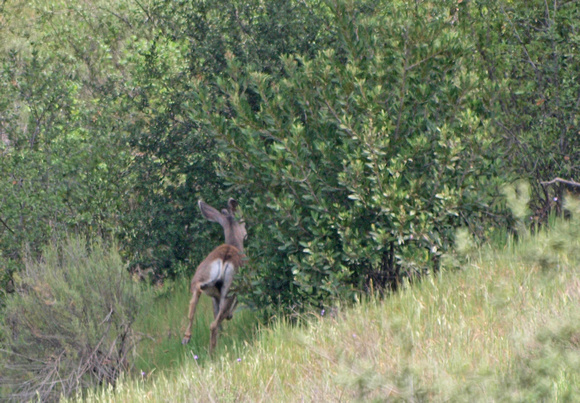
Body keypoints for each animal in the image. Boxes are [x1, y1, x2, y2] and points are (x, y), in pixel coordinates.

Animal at [180, 198, 246, 354]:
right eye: (243, 220)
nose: (246, 234)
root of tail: (225, 256)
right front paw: (229, 317)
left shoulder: (214, 295)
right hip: (230, 288)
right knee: (213, 324)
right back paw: (212, 354)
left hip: (201, 276)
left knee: (195, 297)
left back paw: (187, 337)